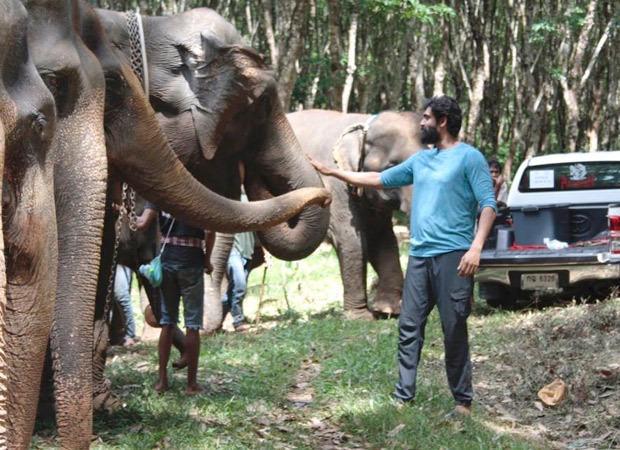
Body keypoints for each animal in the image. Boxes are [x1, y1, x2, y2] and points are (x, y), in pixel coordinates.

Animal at [286, 109, 424, 320]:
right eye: (392, 166)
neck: (362, 122)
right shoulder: (332, 187)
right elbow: (352, 240)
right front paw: (361, 317)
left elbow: (382, 240)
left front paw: (388, 311)